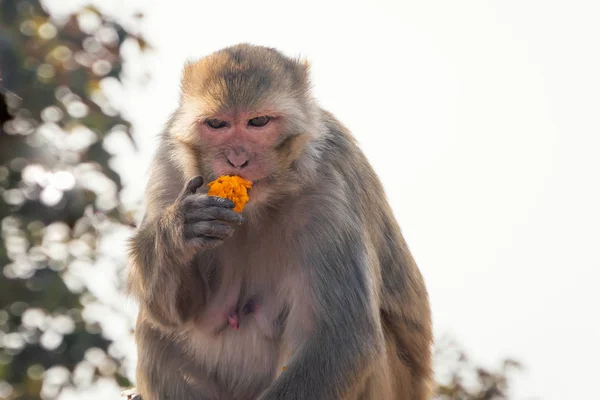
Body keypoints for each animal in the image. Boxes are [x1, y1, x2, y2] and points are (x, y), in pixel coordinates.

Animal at [129, 43, 434, 400]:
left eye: (258, 121)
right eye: (217, 124)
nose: (237, 159)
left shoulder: (329, 191)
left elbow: (339, 339)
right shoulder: (170, 168)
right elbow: (173, 313)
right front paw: (179, 233)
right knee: (156, 332)